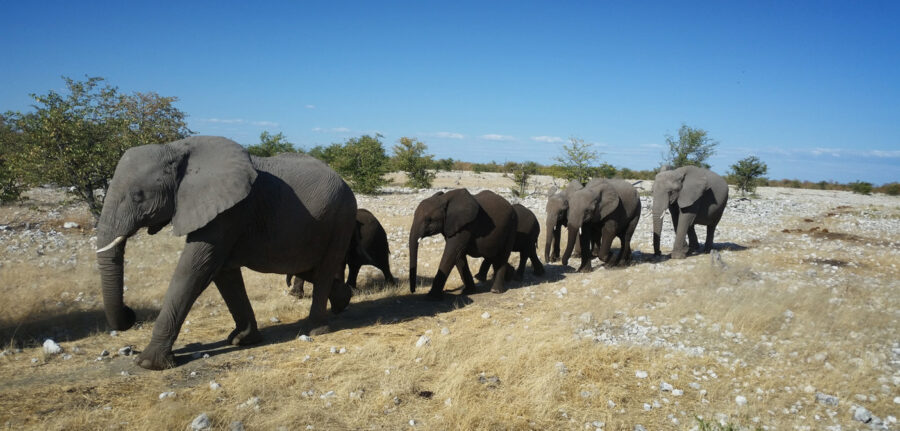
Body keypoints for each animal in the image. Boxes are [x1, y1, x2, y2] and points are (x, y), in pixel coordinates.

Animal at [95, 137, 356, 370]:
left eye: (138, 195)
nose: (130, 314)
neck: (176, 148)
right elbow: (223, 274)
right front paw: (242, 340)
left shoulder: (228, 212)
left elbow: (194, 269)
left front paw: (148, 364)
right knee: (310, 269)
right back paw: (343, 301)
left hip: (341, 218)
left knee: (324, 269)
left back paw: (316, 330)